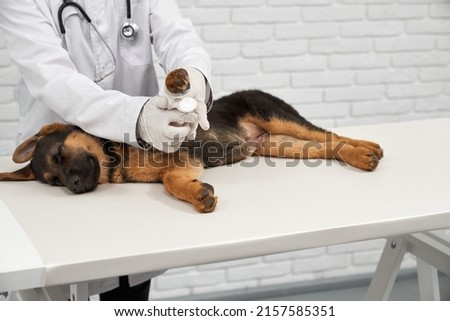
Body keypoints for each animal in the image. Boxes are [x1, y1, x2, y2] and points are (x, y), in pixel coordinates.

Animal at [0, 69, 384, 211]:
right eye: (53, 181)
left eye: (61, 154)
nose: (75, 186)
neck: (119, 156)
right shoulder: (185, 165)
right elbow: (172, 181)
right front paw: (197, 193)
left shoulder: (183, 153)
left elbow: (170, 179)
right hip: (277, 144)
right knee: (327, 146)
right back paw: (360, 156)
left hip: (277, 118)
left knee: (330, 134)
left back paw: (366, 148)